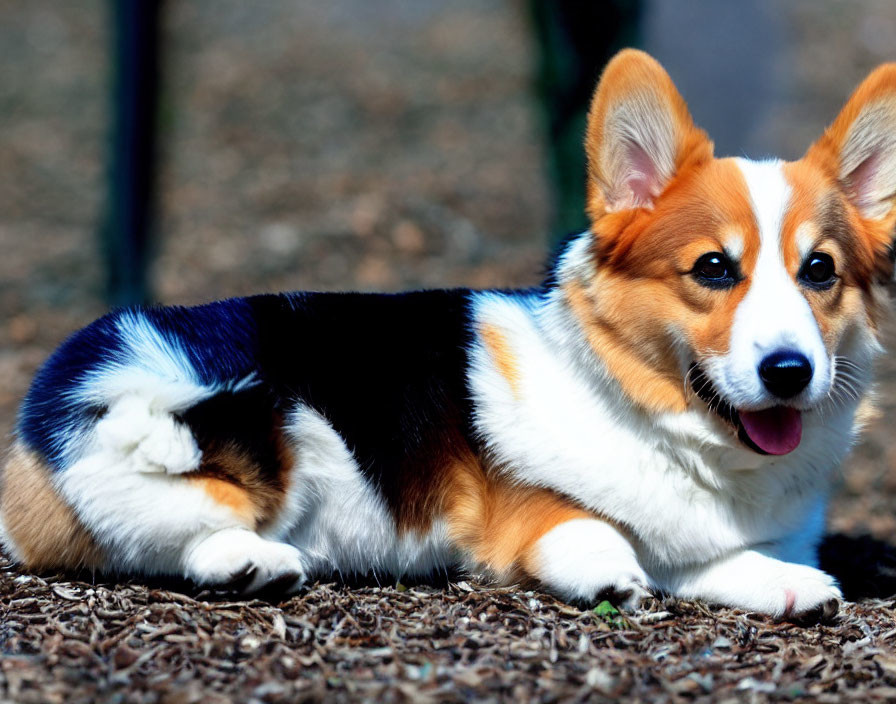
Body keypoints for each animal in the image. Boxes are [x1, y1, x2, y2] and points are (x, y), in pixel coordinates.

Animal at [1, 51, 896, 620]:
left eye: (820, 271)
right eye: (714, 268)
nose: (790, 371)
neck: (678, 434)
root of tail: (41, 410)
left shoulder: (696, 541)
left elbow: (720, 560)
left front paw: (788, 584)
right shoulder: (518, 512)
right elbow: (585, 524)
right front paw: (610, 572)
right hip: (216, 433)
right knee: (158, 533)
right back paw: (254, 562)